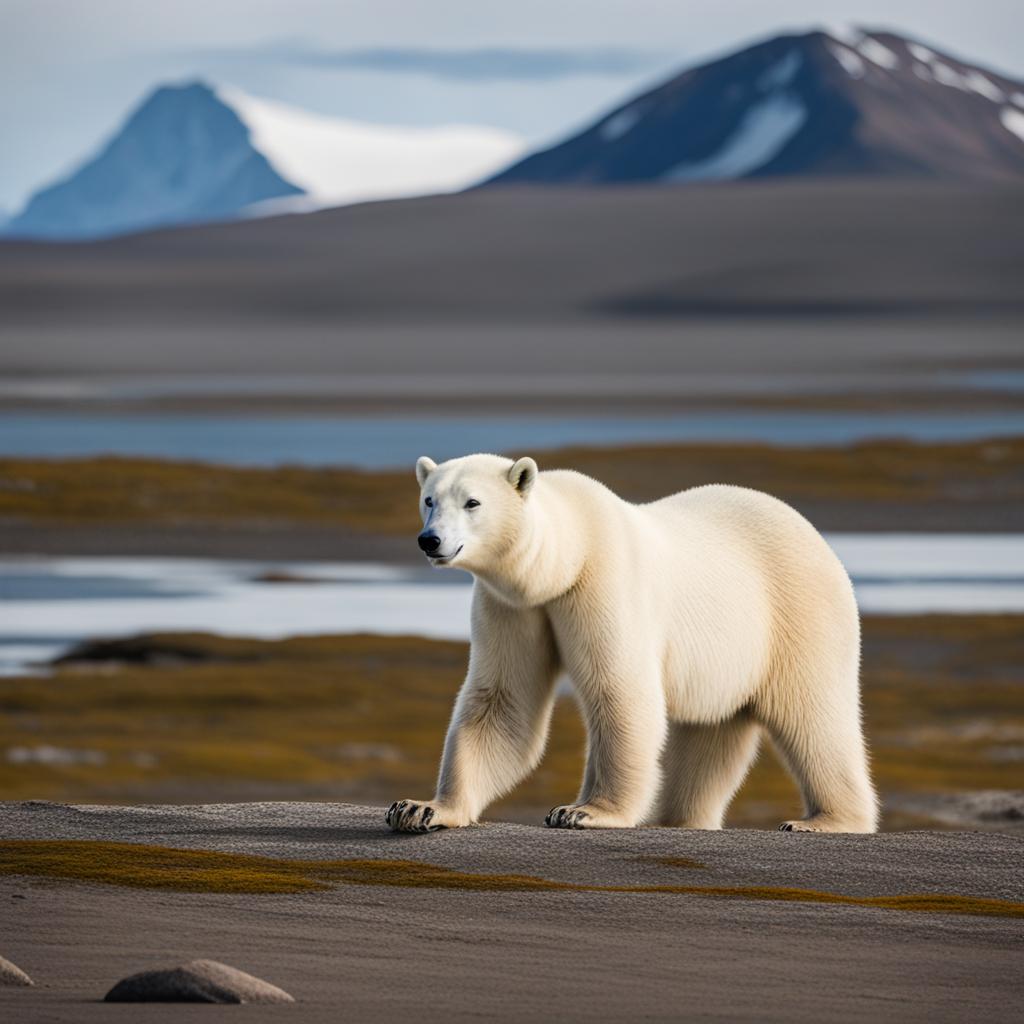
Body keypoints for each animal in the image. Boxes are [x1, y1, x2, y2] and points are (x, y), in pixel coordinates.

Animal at [385, 454, 880, 831]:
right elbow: (503, 702)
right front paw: (420, 809)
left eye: (472, 502)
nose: (430, 540)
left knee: (814, 716)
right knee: (707, 740)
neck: (568, 556)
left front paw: (584, 812)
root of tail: (816, 537)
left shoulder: (602, 583)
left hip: (797, 613)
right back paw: (680, 819)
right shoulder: (514, 608)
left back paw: (825, 820)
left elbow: (619, 690)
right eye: (429, 499)